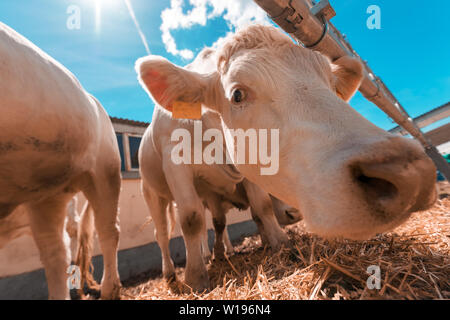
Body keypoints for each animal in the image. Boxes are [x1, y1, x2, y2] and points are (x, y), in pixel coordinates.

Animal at [136, 24, 436, 290]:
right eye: (237, 94)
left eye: (332, 85)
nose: (411, 172)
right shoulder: (176, 164)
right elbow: (191, 219)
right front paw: (196, 278)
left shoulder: (248, 170)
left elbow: (262, 207)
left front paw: (279, 244)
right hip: (152, 193)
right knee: (162, 233)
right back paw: (171, 273)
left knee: (218, 223)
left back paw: (219, 254)